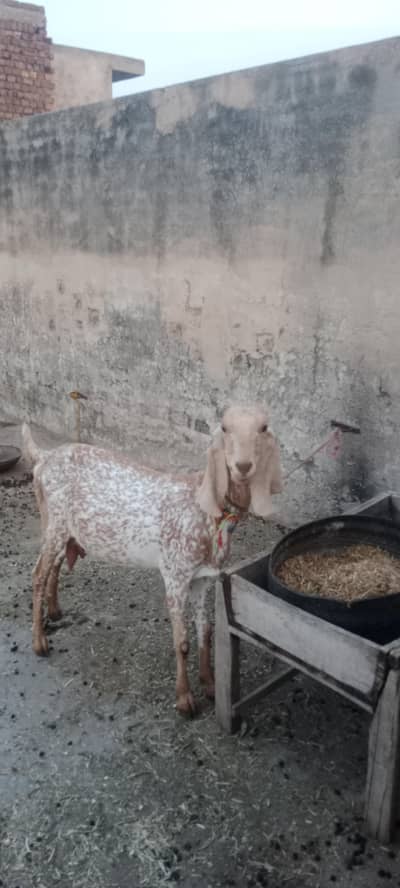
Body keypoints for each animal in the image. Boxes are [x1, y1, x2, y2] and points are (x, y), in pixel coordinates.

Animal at [22, 406, 282, 715]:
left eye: (263, 427)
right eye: (224, 427)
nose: (243, 465)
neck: (205, 512)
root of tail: (44, 457)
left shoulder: (203, 578)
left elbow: (205, 631)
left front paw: (209, 685)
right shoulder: (174, 573)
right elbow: (182, 641)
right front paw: (185, 699)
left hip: (65, 530)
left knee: (55, 566)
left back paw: (55, 611)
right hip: (55, 522)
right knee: (38, 573)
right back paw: (39, 642)